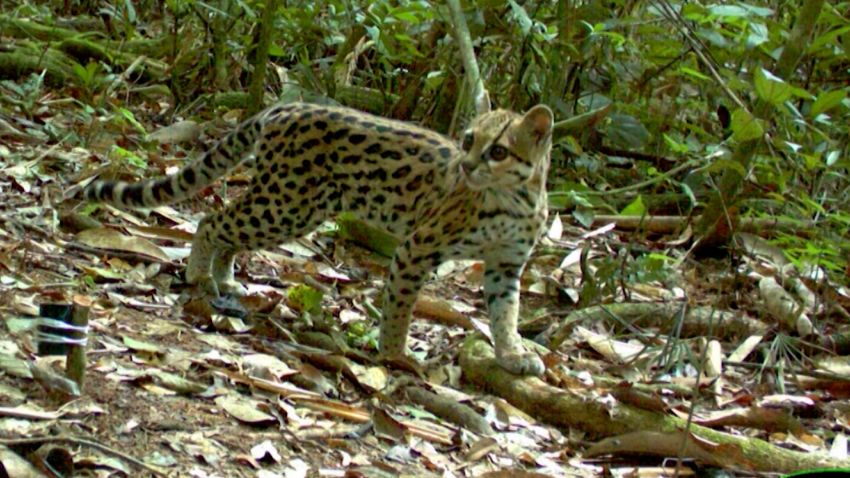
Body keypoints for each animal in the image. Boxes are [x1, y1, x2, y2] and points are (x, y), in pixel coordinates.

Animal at [84, 102, 548, 376]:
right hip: (287, 205)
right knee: (212, 219)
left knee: (225, 225)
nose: (466, 165)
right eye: (469, 140)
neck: (514, 200)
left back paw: (225, 278)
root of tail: (287, 104)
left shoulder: (506, 265)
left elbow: (505, 313)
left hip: (286, 204)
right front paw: (395, 355)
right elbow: (400, 307)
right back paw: (200, 275)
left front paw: (512, 354)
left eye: (498, 150)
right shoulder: (418, 247)